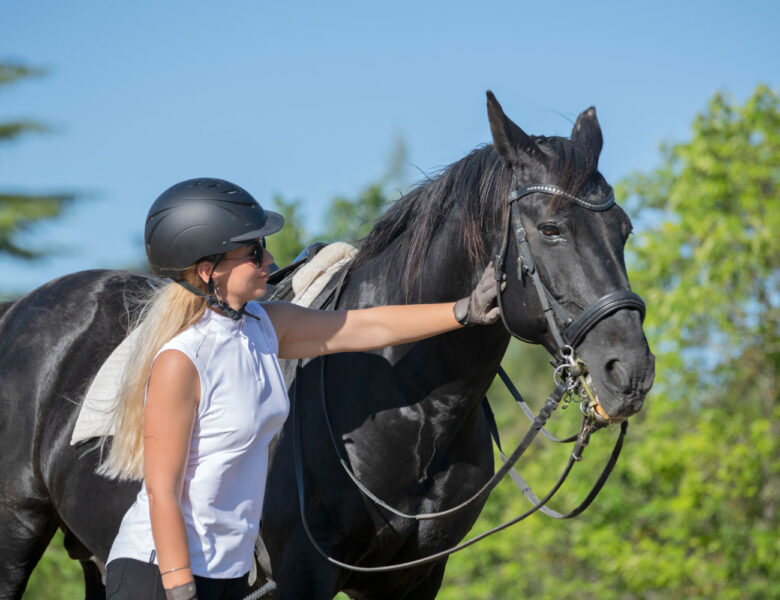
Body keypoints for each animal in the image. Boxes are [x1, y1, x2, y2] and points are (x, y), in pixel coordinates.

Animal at [0, 91, 652, 596]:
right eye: (550, 229)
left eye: (623, 230)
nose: (631, 372)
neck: (408, 408)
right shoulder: (302, 576)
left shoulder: (414, 580)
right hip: (16, 536)